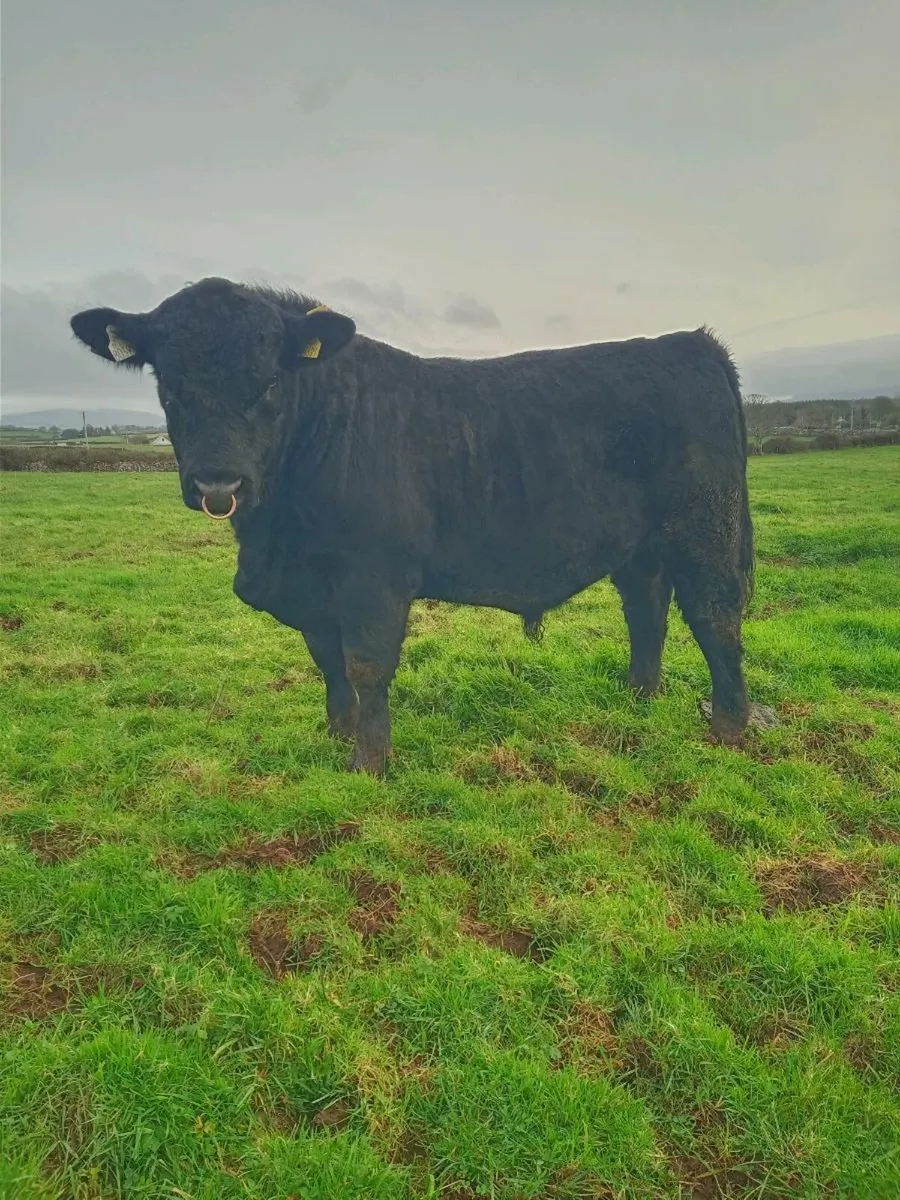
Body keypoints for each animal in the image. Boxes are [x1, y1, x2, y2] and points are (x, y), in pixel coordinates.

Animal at [70, 277, 755, 775]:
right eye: (170, 384)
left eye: (268, 382)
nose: (219, 485)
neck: (275, 539)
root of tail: (689, 342)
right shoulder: (314, 588)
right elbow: (327, 658)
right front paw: (337, 731)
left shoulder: (373, 577)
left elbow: (366, 664)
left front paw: (369, 762)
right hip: (640, 545)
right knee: (647, 609)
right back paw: (640, 698)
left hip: (704, 529)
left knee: (714, 616)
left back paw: (728, 727)